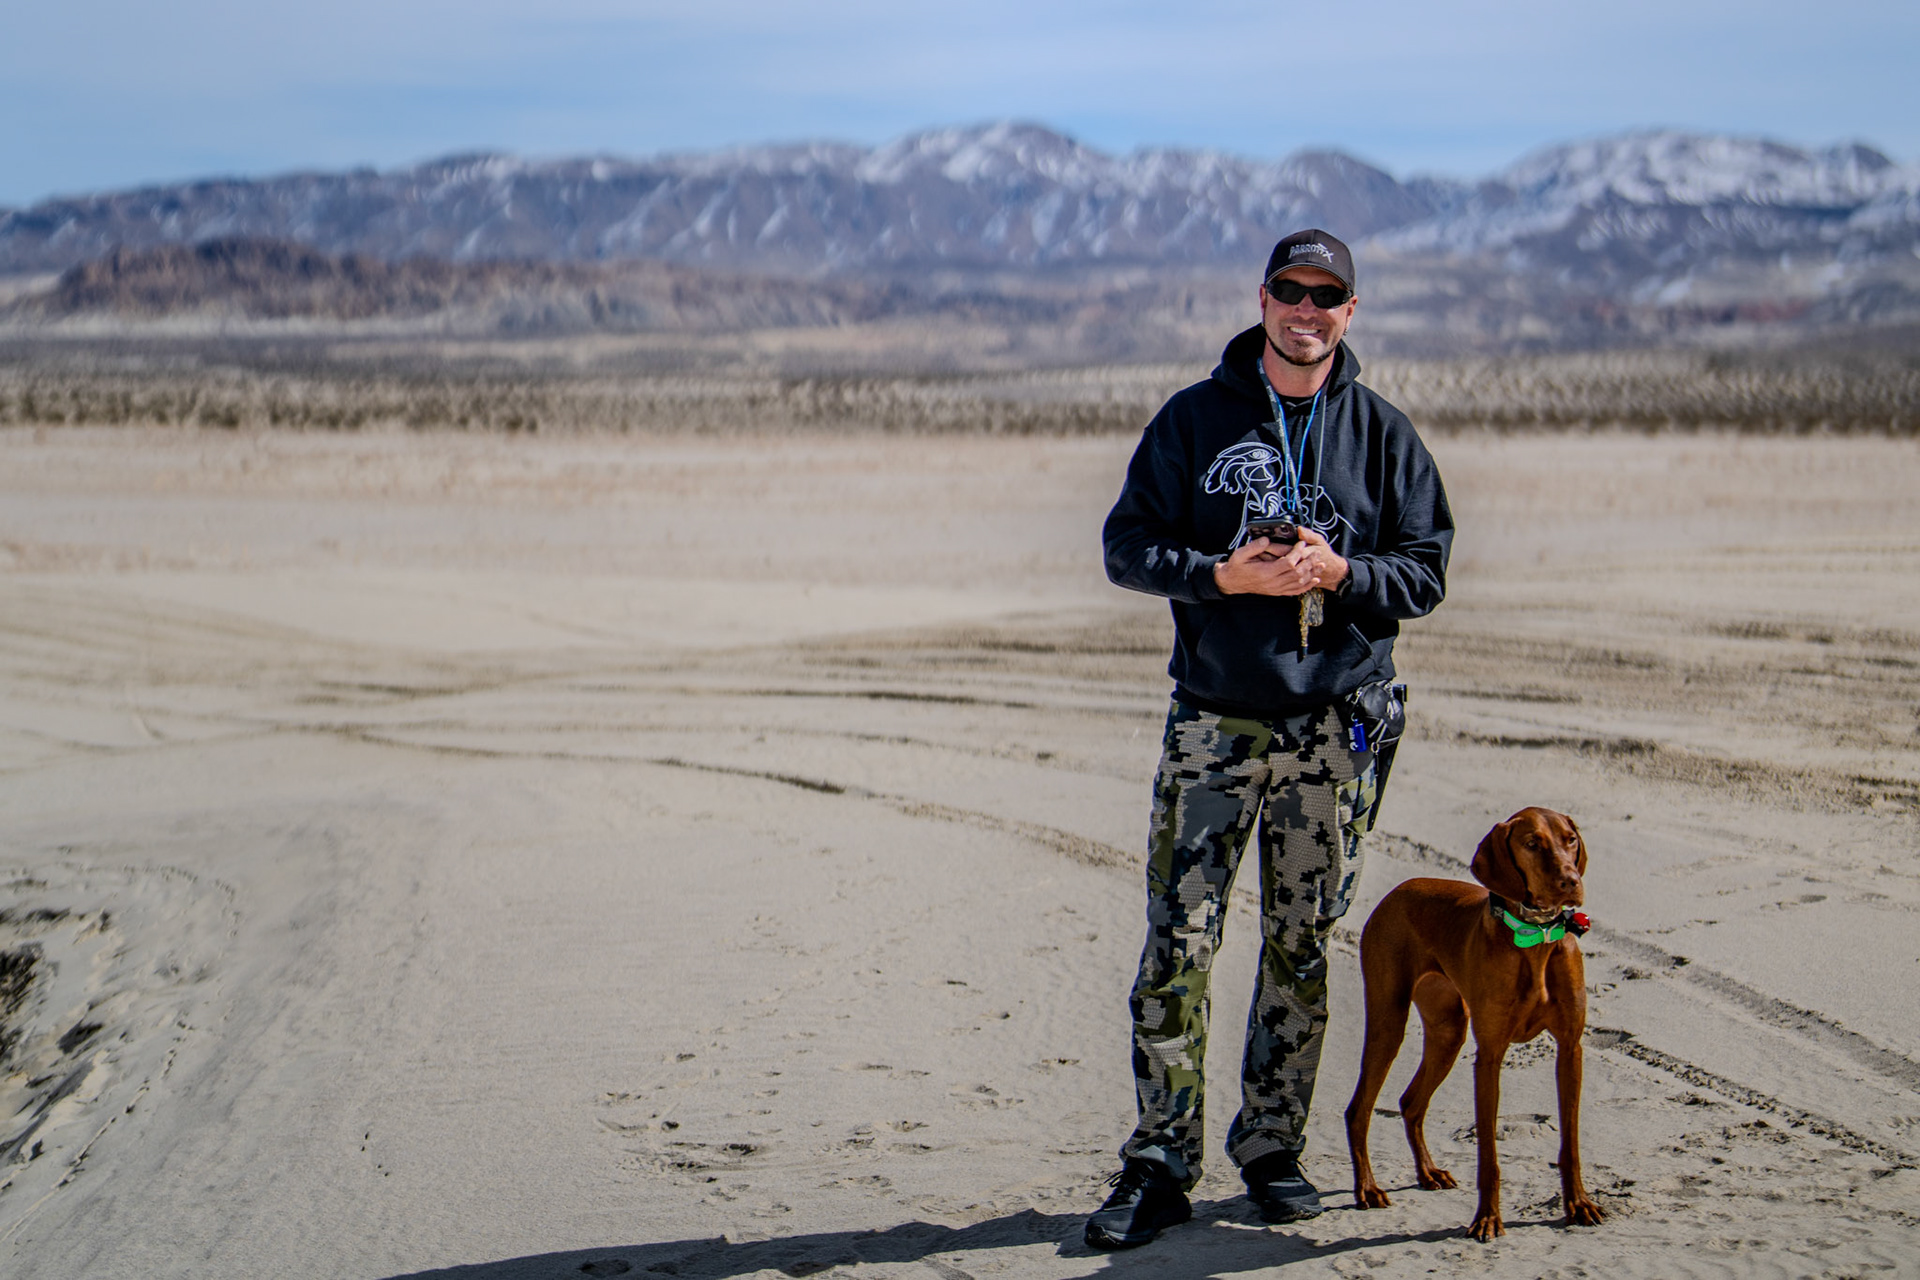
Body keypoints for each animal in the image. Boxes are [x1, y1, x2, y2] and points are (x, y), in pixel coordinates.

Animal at [1344, 807, 1606, 1240]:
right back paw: (1367, 1187)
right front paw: (1487, 1218)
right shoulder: (1490, 1056)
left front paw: (1578, 1204)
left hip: (1448, 1030)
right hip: (1388, 1020)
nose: (1571, 881)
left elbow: (1570, 1145)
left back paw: (1428, 1172)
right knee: (1359, 1109)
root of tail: (1399, 889)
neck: (1536, 938)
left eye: (1570, 839)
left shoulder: (1571, 1050)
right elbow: (1489, 1157)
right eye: (1532, 843)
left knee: (1411, 1103)